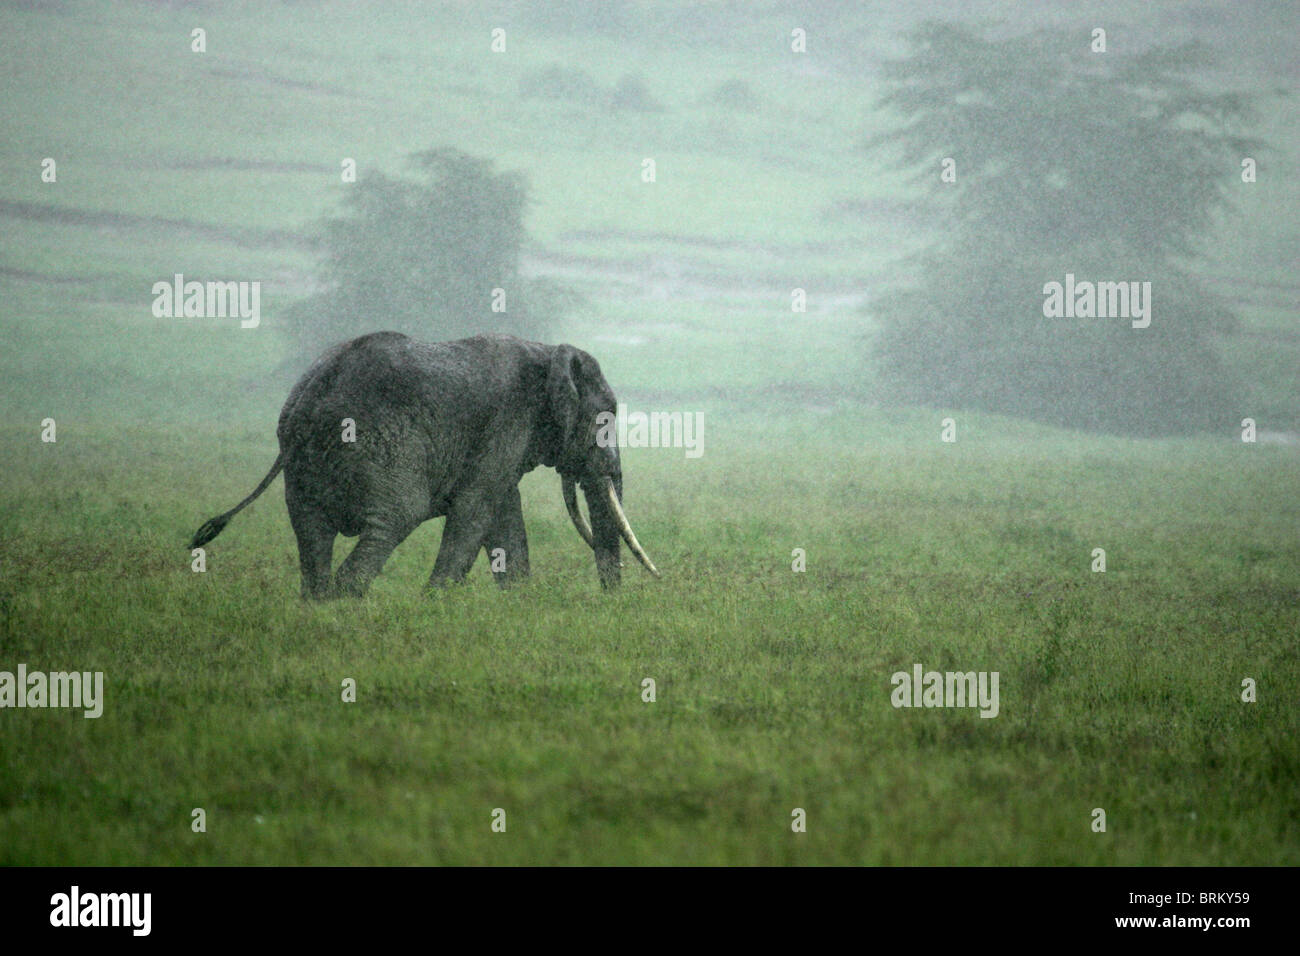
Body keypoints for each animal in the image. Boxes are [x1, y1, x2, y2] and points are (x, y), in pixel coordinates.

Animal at [189, 330, 660, 598]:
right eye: (607, 416)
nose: (612, 600)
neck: (546, 353)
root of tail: (311, 393)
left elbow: (503, 513)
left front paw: (519, 603)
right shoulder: (509, 419)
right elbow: (476, 510)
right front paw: (435, 603)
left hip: (305, 463)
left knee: (311, 529)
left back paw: (318, 604)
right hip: (378, 444)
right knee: (397, 516)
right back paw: (347, 600)